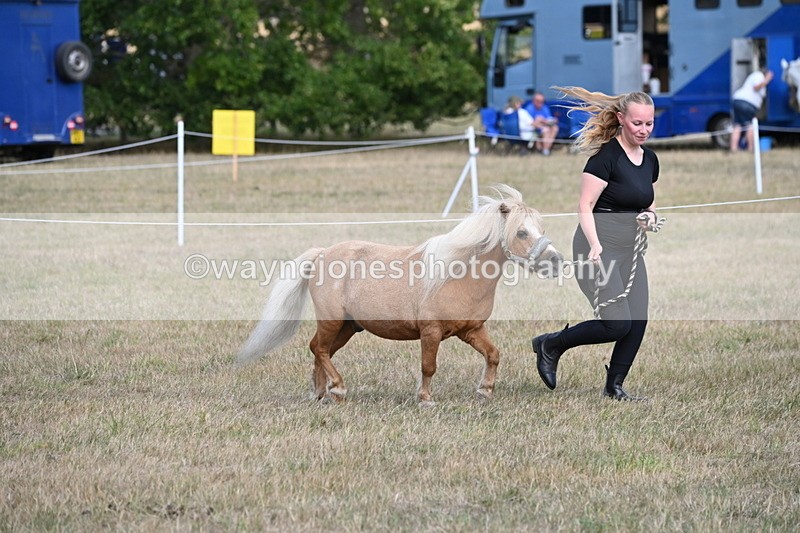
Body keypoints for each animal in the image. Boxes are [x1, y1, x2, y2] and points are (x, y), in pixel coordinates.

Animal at [236, 185, 563, 406]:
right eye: (521, 232)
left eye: (541, 228)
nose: (556, 261)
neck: (457, 274)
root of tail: (322, 254)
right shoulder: (431, 332)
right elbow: (429, 366)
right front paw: (425, 399)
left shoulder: (471, 330)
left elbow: (493, 355)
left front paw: (484, 391)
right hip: (332, 321)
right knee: (319, 349)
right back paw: (338, 388)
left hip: (347, 327)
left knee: (320, 349)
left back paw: (322, 393)